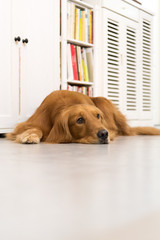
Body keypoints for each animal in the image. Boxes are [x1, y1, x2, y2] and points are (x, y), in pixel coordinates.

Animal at [5, 89, 160, 143]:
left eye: (98, 116)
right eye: (79, 120)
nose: (104, 134)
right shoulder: (28, 124)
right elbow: (35, 128)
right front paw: (30, 136)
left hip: (102, 100)